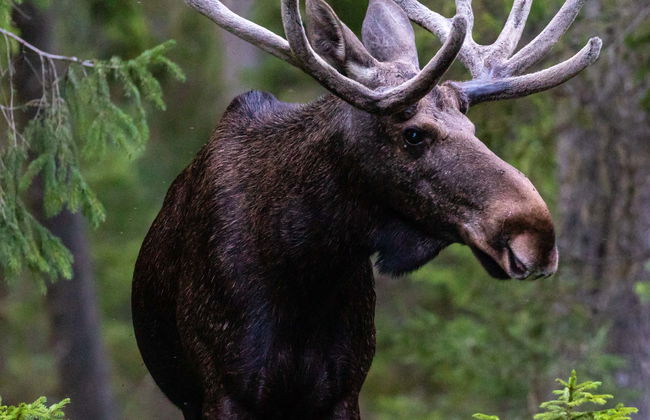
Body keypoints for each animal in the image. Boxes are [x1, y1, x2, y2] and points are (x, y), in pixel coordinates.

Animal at [132, 0, 601, 418]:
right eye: (413, 134)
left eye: (471, 127)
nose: (537, 236)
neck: (304, 269)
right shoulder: (225, 392)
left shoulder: (343, 391)